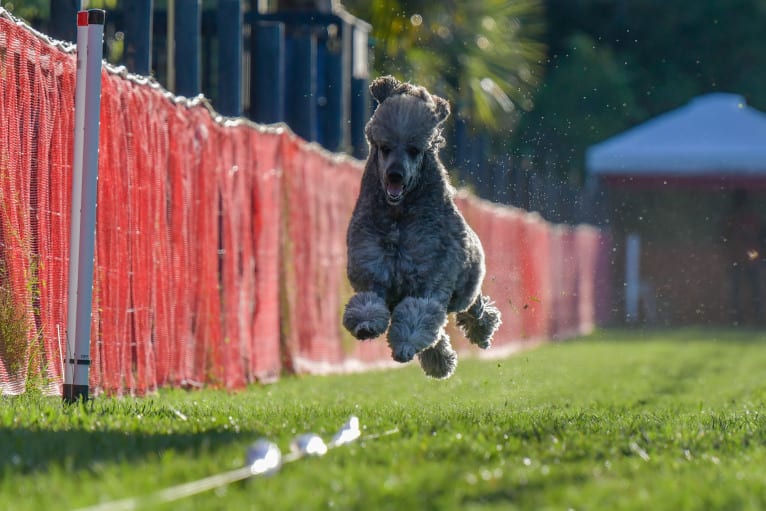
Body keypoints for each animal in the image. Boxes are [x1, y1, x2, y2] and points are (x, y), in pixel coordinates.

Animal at [344, 76, 504, 380]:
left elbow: (417, 315)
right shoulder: (373, 273)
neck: (398, 218)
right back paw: (440, 360)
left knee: (472, 309)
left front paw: (405, 345)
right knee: (440, 332)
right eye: (385, 147)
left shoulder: (429, 280)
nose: (395, 175)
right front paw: (366, 325)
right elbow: (368, 303)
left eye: (414, 150)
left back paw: (481, 331)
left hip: (463, 288)